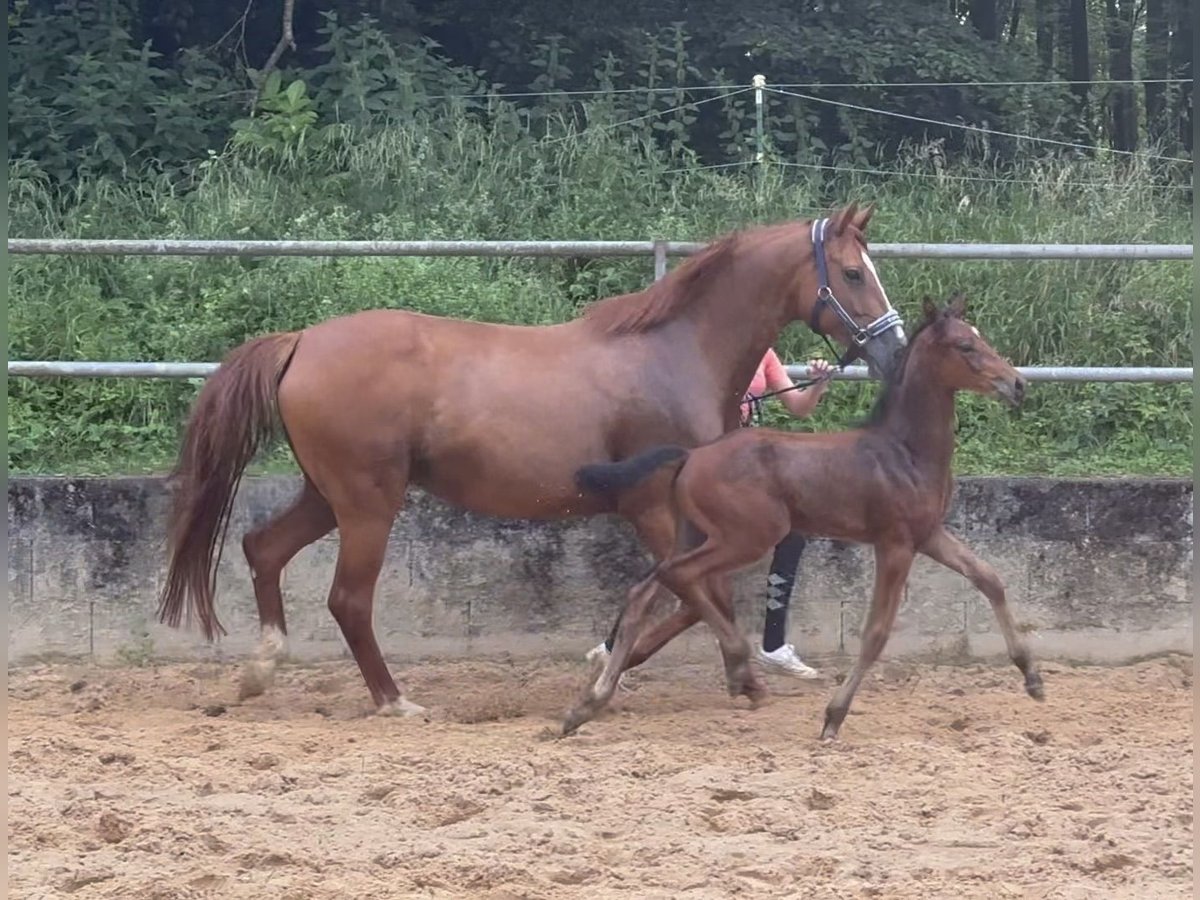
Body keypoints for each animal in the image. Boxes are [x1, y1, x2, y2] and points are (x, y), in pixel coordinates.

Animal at [162, 200, 907, 715]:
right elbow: (696, 595)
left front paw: (618, 659)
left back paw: (258, 673)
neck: (673, 354)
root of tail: (301, 342)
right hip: (368, 502)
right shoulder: (653, 505)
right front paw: (717, 674)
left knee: (262, 548)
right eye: (851, 273)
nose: (895, 350)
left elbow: (689, 597)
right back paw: (394, 700)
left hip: (327, 495)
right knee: (347, 599)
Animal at [566, 296, 1046, 739]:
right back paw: (736, 667)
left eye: (979, 336)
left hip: (694, 533)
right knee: (678, 577)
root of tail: (691, 455)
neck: (904, 452)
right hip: (748, 536)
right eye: (965, 346)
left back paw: (589, 703)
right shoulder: (895, 544)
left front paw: (1032, 677)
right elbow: (876, 633)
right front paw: (834, 716)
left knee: (644, 591)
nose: (1018, 384)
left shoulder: (929, 535)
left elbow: (990, 578)